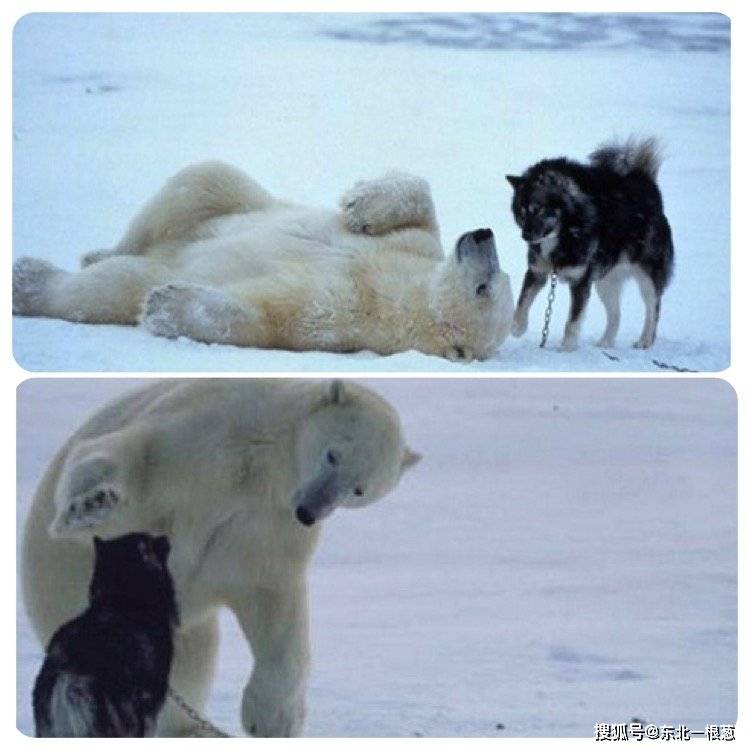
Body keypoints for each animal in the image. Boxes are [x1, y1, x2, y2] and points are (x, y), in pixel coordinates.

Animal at [13, 162, 516, 364]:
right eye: (498, 276)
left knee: (113, 286)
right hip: (220, 202)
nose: (484, 235)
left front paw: (166, 305)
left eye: (486, 287)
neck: (408, 291)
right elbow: (420, 204)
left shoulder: (350, 312)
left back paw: (29, 281)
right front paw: (360, 203)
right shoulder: (417, 248)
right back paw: (97, 251)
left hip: (153, 266)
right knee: (201, 181)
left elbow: (271, 311)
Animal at [512, 140, 676, 352]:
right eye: (521, 213)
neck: (564, 235)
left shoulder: (580, 281)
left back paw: (645, 340)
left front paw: (567, 348)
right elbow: (522, 301)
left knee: (653, 308)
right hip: (605, 281)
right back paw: (606, 342)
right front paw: (516, 327)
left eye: (537, 209)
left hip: (647, 276)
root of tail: (647, 184)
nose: (525, 236)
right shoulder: (537, 272)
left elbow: (572, 321)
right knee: (616, 314)